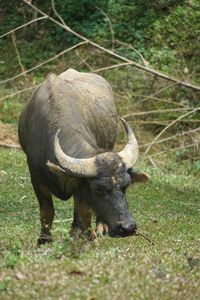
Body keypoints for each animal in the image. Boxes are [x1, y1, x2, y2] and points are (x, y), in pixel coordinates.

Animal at [18, 68, 148, 244]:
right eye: (99, 188)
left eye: (126, 185)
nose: (127, 227)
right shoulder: (37, 179)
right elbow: (47, 212)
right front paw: (44, 240)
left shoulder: (81, 188)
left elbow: (84, 212)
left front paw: (85, 236)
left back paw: (99, 227)